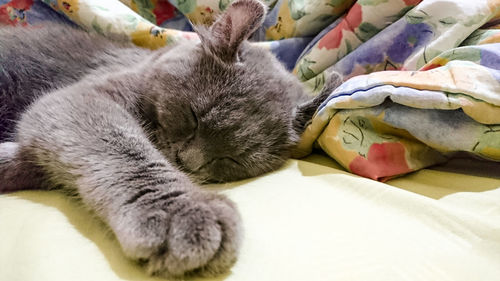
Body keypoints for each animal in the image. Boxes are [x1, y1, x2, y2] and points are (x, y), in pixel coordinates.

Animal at [0, 0, 340, 276]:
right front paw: (179, 211)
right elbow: (128, 152)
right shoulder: (83, 98)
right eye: (193, 117)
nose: (186, 161)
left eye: (230, 159)